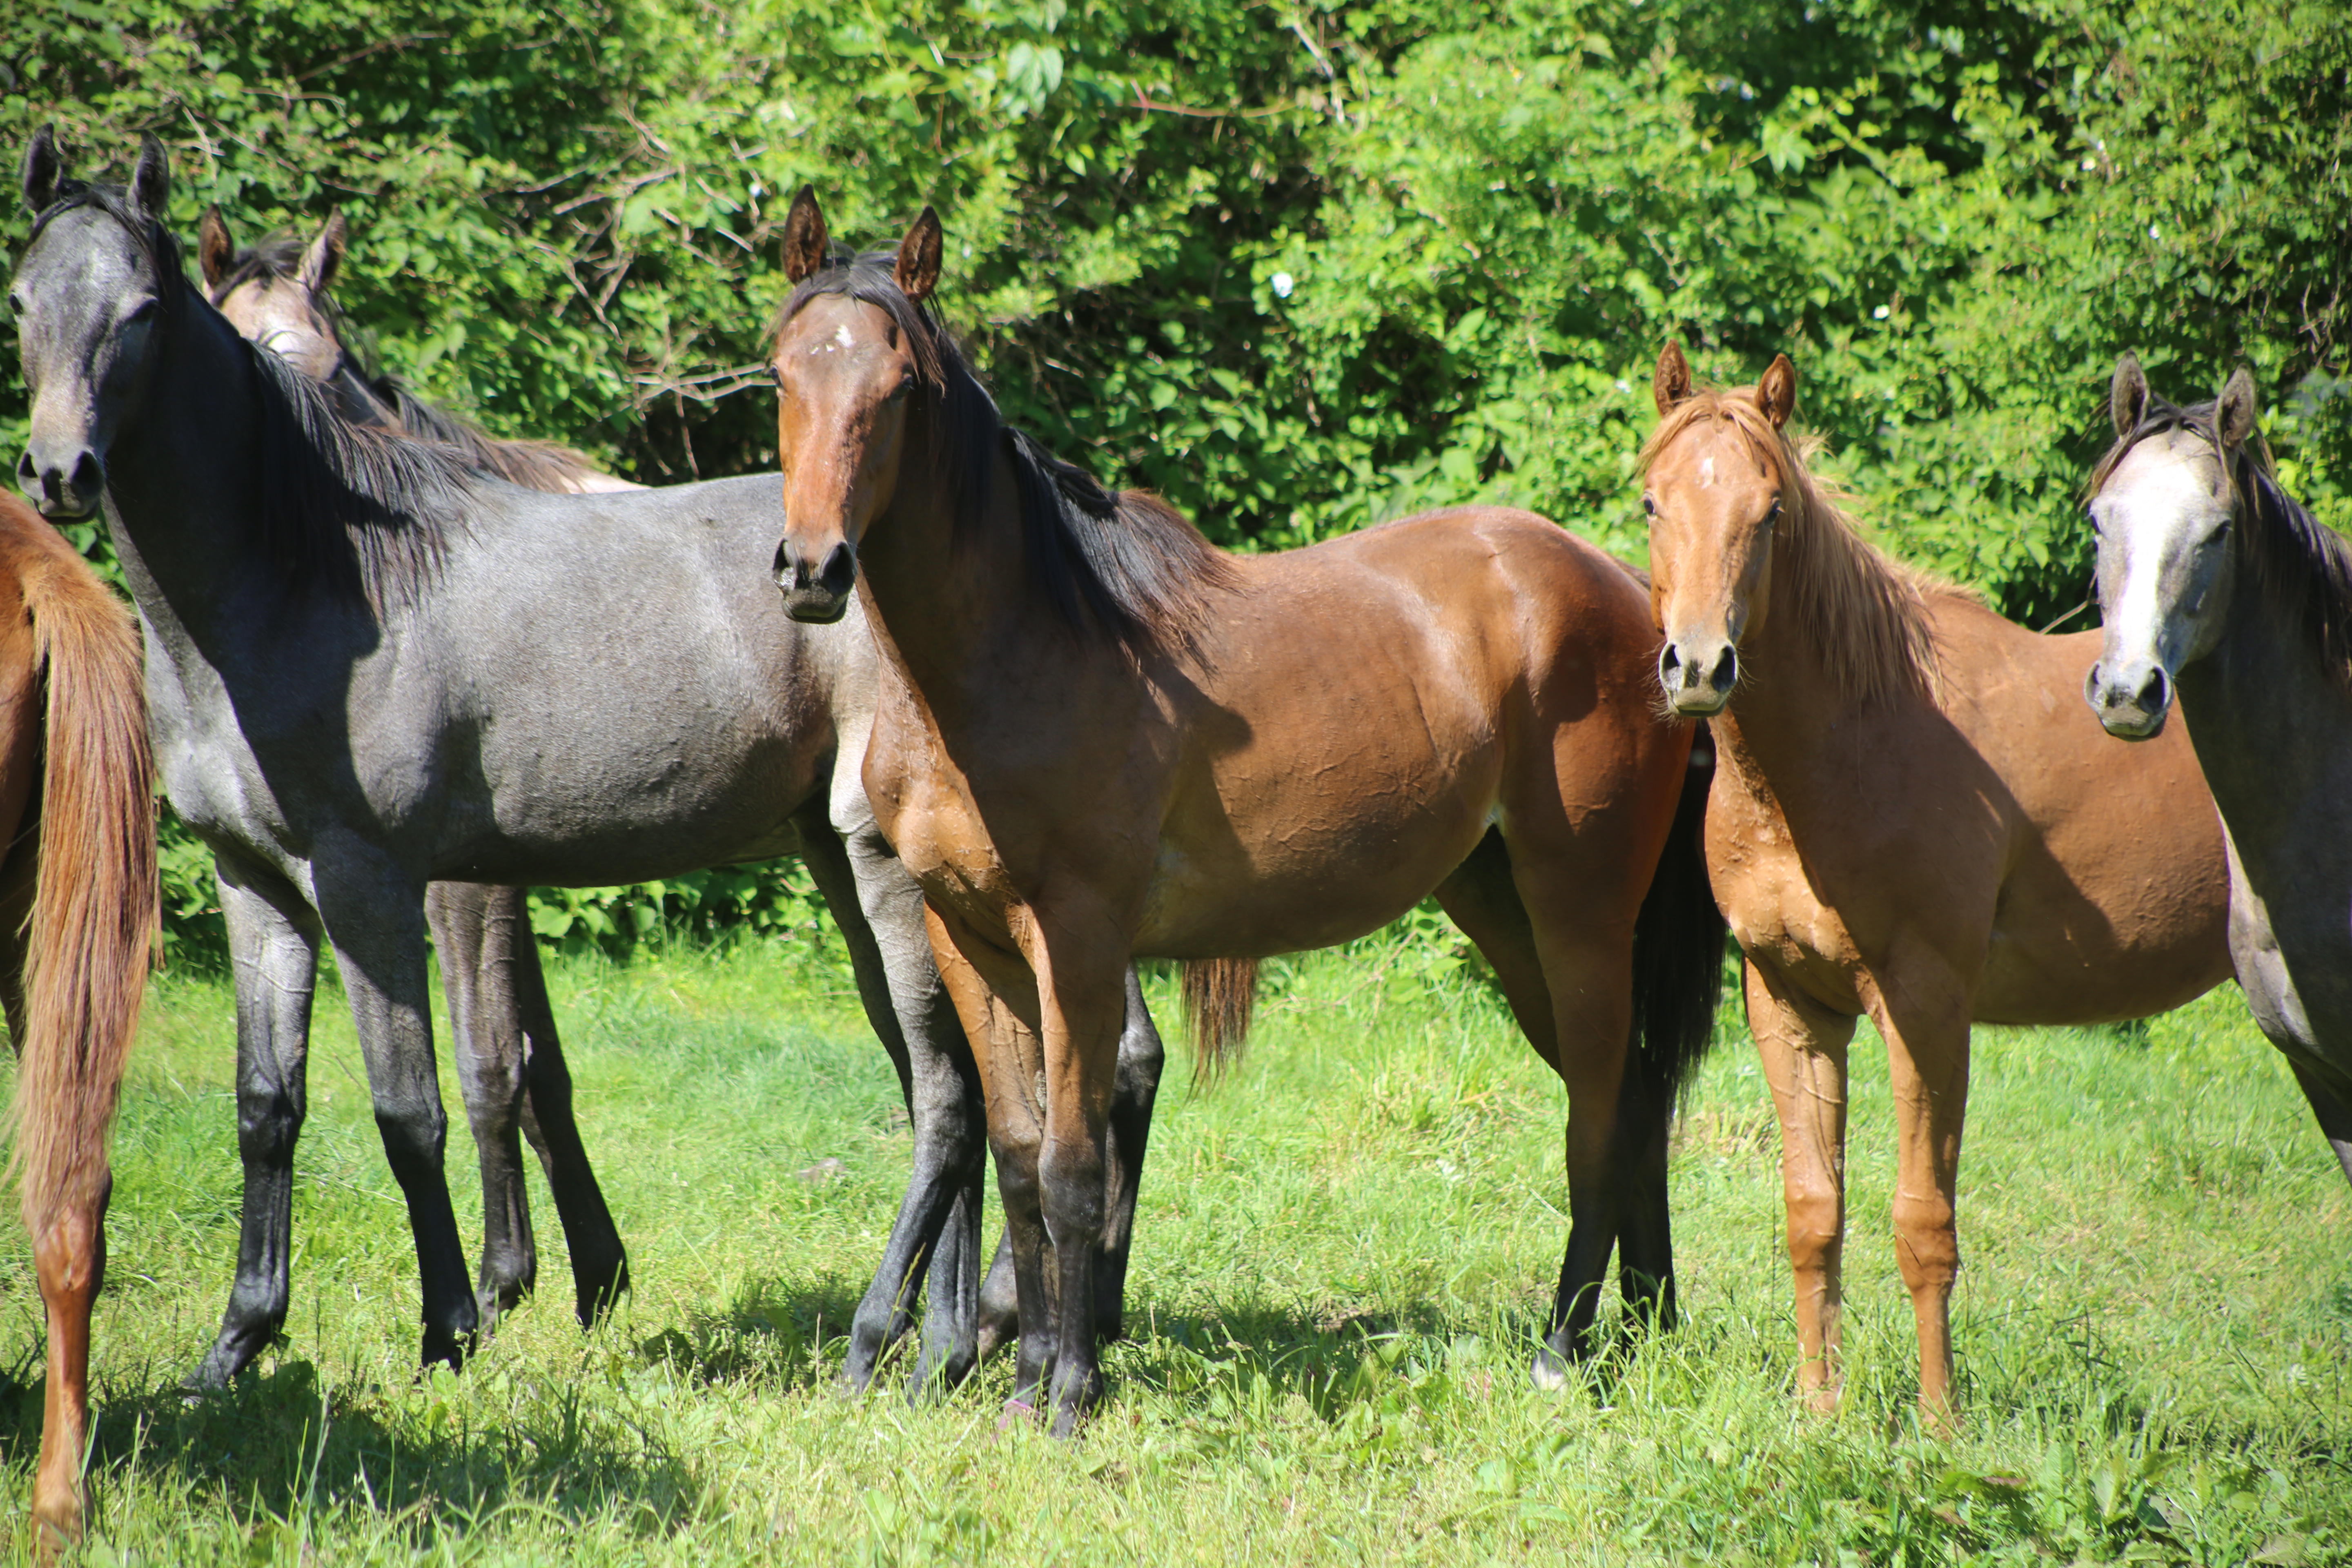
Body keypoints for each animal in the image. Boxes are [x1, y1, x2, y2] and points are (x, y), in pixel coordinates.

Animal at [9, 131, 1166, 1401]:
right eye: (21, 301)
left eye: (142, 309)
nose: (59, 471)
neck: (320, 575)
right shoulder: (252, 880)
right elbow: (268, 1107)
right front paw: (236, 1346)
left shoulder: (374, 885)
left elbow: (415, 1106)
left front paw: (452, 1329)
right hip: (851, 866)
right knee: (955, 1083)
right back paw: (952, 1343)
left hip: (893, 877)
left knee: (960, 1088)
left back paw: (920, 1344)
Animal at [762, 190, 1722, 1439]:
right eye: (782, 372)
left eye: (900, 387)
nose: (812, 568)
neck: (1019, 654)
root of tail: (1640, 609)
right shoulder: (965, 937)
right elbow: (1017, 1158)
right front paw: (1025, 1383)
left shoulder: (1078, 944)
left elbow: (1073, 1167)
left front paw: (1067, 1394)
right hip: (1502, 909)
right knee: (1637, 1101)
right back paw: (1644, 1331)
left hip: (1582, 917)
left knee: (1602, 1110)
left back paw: (1564, 1348)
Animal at [1646, 341, 2230, 1420]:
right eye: (1654, 502)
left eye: (1769, 511)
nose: (1698, 666)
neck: (1848, 744)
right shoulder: (1789, 1004)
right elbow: (1812, 1209)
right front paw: (1819, 1407)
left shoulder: (1922, 1007)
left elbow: (1923, 1224)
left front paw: (1940, 1425)